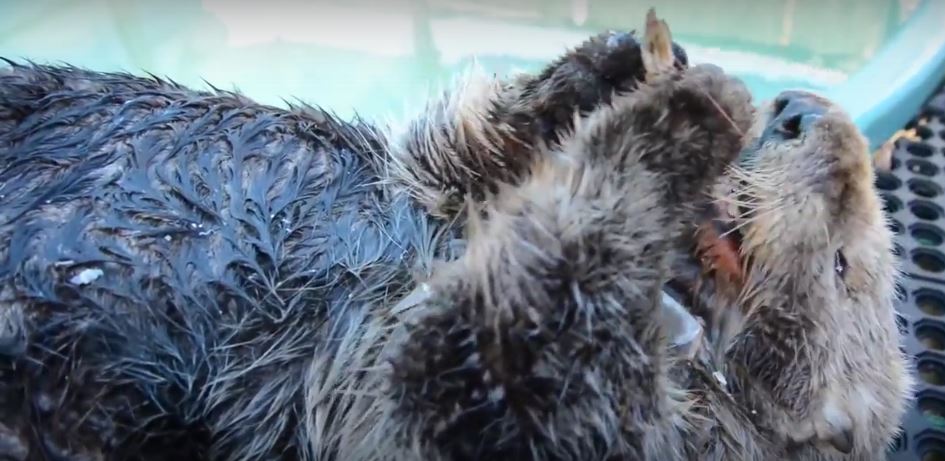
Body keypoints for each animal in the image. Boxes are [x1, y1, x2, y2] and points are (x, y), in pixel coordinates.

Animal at [0, 10, 912, 460]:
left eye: (841, 267)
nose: (798, 111)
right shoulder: (444, 186)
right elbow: (468, 148)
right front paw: (623, 64)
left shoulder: (489, 411)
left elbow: (487, 341)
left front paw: (690, 112)